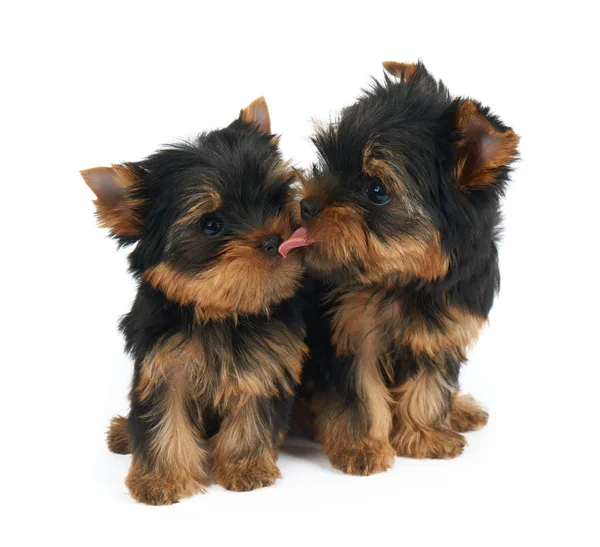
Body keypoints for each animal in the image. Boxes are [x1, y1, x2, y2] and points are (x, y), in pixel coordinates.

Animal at [82, 96, 308, 504]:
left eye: (277, 198)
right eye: (211, 225)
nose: (274, 240)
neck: (220, 311)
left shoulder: (266, 361)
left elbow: (253, 410)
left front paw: (244, 466)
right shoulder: (162, 365)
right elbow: (161, 420)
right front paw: (161, 479)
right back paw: (124, 432)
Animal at [282, 62, 520, 478]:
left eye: (377, 191)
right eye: (327, 159)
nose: (307, 205)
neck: (409, 278)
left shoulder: (443, 332)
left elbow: (428, 386)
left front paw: (425, 435)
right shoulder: (352, 333)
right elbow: (360, 394)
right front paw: (363, 447)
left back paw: (459, 409)